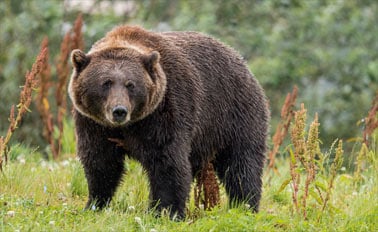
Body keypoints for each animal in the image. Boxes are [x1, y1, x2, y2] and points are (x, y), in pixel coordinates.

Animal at [68, 25, 268, 219]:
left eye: (130, 84)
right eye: (106, 83)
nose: (119, 111)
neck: (128, 126)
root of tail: (241, 61)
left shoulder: (164, 112)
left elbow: (167, 162)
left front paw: (164, 211)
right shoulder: (94, 124)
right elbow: (101, 162)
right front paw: (94, 204)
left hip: (233, 114)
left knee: (241, 163)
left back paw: (245, 205)